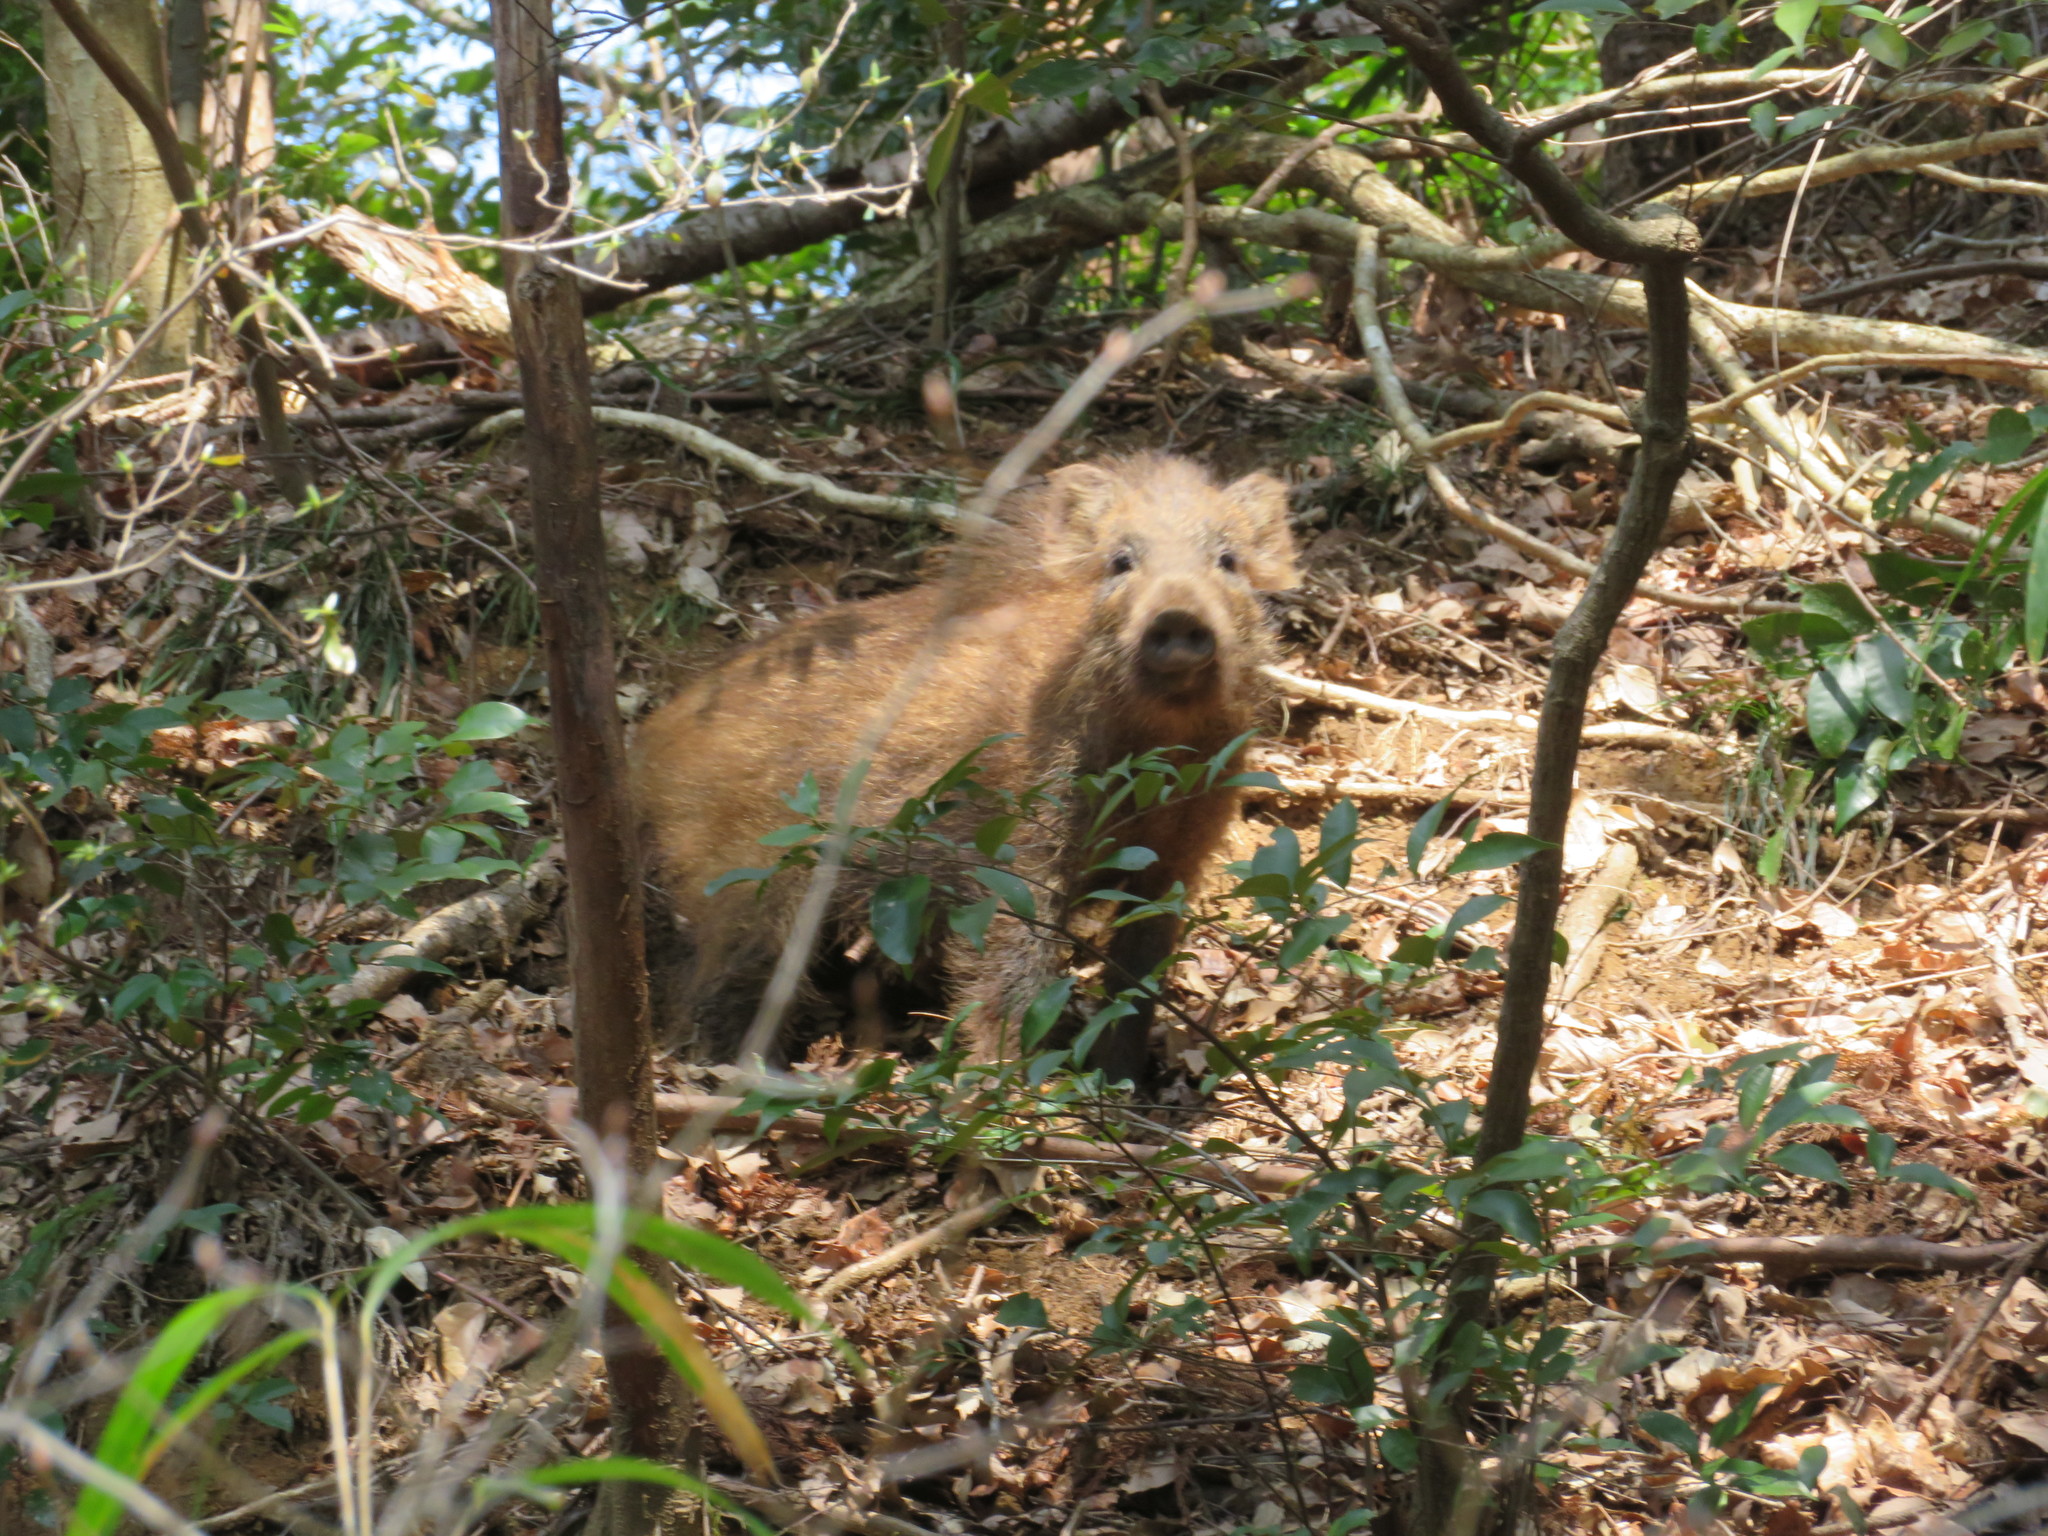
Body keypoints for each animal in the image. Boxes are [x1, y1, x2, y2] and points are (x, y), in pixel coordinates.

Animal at [630, 452, 1301, 1085]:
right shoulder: (1024, 834)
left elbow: (1140, 971)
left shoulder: (1181, 851)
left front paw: (1122, 1085)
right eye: (1120, 561)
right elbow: (1014, 957)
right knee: (712, 989)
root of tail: (651, 744)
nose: (1177, 616)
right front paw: (1007, 1086)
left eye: (1228, 559)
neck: (1160, 746)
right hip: (742, 878)